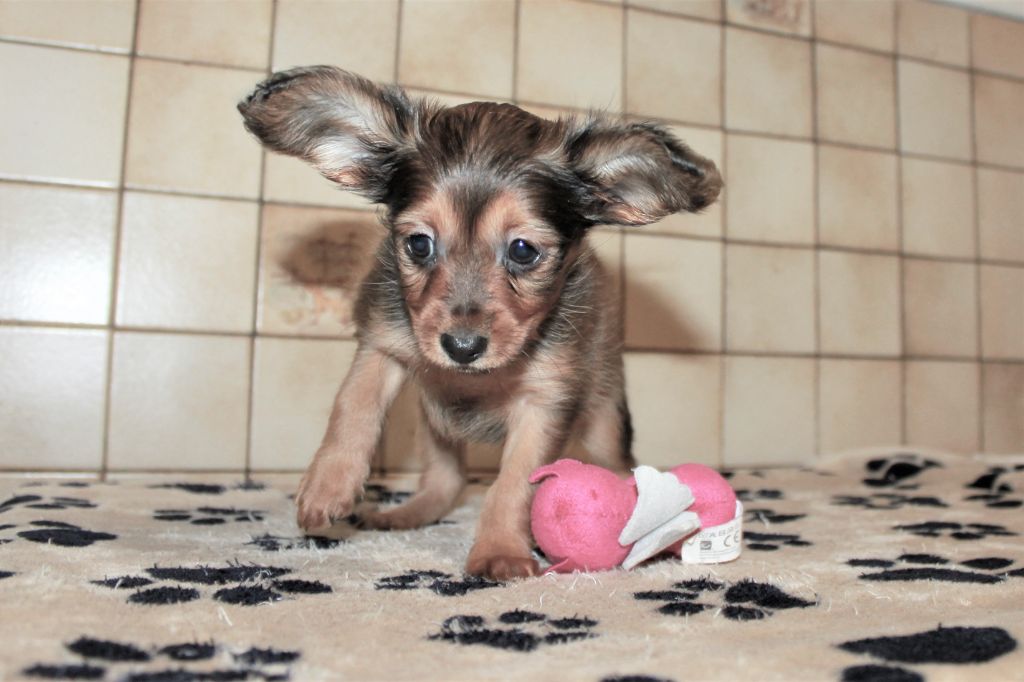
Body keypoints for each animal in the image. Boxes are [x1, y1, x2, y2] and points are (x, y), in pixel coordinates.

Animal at [238, 67, 722, 580]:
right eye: (418, 244)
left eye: (523, 251)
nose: (462, 347)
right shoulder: (382, 341)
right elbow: (353, 404)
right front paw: (327, 485)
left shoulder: (544, 402)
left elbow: (514, 484)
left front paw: (500, 551)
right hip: (434, 420)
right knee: (446, 480)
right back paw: (407, 513)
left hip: (602, 419)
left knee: (617, 462)